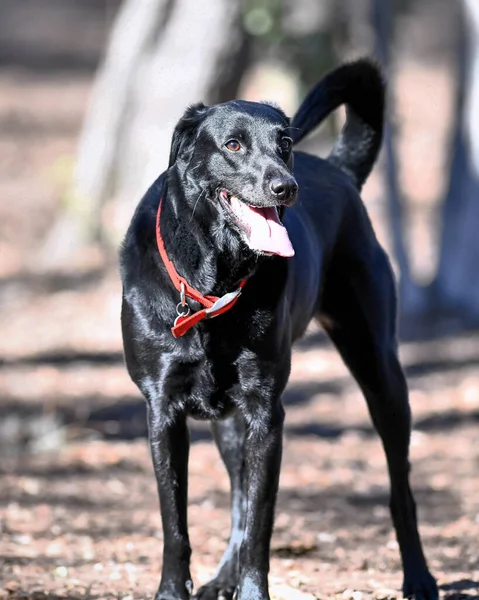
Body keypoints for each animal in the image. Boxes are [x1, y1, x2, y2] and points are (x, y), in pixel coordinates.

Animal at [120, 59, 438, 600]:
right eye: (233, 145)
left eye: (284, 142)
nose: (285, 186)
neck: (213, 284)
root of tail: (339, 171)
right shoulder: (162, 412)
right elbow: (176, 521)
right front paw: (173, 591)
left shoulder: (267, 414)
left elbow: (260, 522)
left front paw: (251, 591)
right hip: (229, 421)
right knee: (235, 498)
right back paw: (220, 579)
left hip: (380, 371)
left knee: (401, 489)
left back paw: (418, 577)